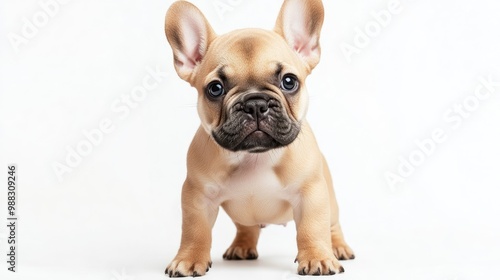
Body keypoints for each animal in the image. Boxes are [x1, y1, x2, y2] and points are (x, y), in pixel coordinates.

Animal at [162, 0, 354, 276]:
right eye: (215, 89)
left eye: (289, 81)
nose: (255, 103)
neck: (254, 158)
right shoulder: (197, 197)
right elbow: (195, 231)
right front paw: (188, 259)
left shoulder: (312, 194)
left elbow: (312, 227)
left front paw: (317, 257)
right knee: (247, 228)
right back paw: (241, 247)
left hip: (331, 200)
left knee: (332, 225)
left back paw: (338, 247)